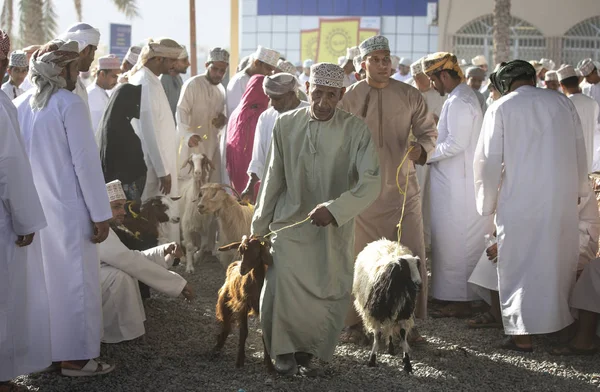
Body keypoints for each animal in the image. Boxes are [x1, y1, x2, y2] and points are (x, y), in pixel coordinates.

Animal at [213, 236, 274, 370]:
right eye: (240, 251)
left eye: (257, 251)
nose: (242, 269)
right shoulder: (242, 305)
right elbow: (243, 332)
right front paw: (239, 360)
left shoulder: (262, 308)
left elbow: (264, 335)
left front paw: (269, 364)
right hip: (226, 300)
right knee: (226, 325)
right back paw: (217, 347)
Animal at [352, 239, 422, 374]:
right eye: (405, 269)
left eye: (417, 266)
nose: (419, 285)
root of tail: (382, 241)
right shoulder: (376, 314)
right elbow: (377, 335)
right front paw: (372, 360)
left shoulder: (404, 313)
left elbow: (403, 335)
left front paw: (407, 364)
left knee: (390, 327)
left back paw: (391, 348)